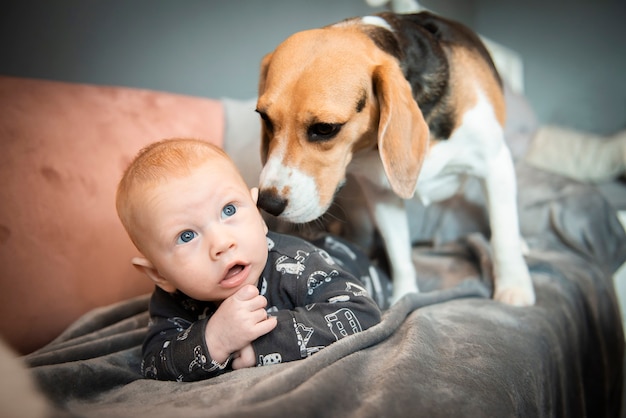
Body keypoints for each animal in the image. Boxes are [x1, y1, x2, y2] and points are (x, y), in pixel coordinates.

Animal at [256, 11, 532, 306]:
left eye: (325, 128)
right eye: (265, 118)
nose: (267, 203)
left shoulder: (495, 164)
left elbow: (503, 235)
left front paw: (514, 287)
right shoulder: (380, 193)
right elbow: (398, 252)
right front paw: (405, 296)